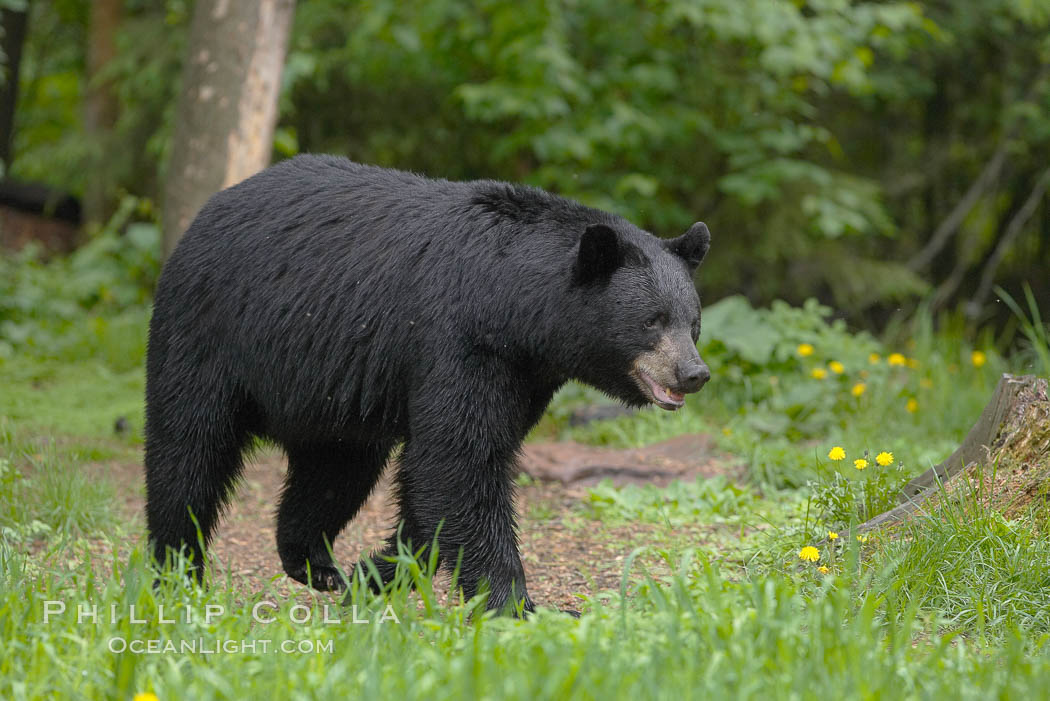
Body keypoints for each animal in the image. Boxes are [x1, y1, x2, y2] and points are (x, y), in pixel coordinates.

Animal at [143, 154, 709, 612]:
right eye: (653, 321)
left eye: (693, 321)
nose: (694, 373)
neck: (512, 305)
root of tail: (208, 211)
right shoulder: (459, 341)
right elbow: (458, 461)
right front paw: (517, 604)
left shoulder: (522, 375)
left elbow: (442, 474)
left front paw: (376, 574)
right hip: (208, 333)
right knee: (188, 451)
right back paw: (176, 570)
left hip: (331, 393)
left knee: (335, 471)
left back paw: (313, 563)